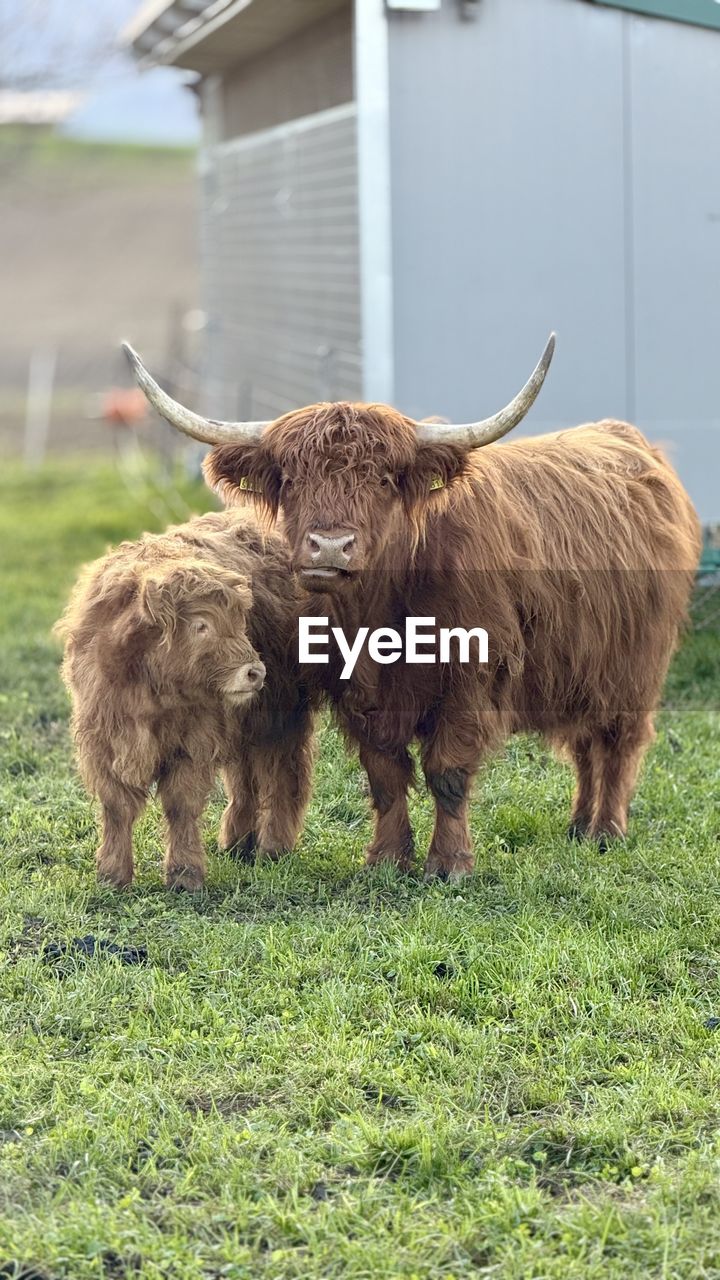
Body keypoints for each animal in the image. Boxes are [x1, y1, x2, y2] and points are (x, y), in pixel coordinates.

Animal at [56, 510, 315, 890]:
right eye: (201, 625)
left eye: (241, 621)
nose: (254, 672)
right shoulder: (105, 742)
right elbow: (116, 807)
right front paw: (112, 875)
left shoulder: (194, 741)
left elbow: (181, 805)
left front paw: (184, 876)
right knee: (244, 777)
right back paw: (238, 842)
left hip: (279, 717)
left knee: (281, 773)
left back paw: (272, 848)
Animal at [123, 336, 701, 879]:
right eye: (290, 478)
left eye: (382, 479)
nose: (329, 546)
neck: (387, 612)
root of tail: (630, 442)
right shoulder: (361, 691)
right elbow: (385, 773)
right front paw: (387, 858)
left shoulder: (470, 679)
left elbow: (448, 771)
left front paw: (450, 863)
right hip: (583, 669)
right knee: (585, 745)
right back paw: (580, 825)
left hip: (635, 666)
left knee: (619, 743)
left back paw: (606, 830)